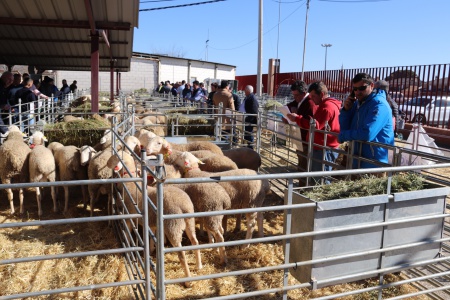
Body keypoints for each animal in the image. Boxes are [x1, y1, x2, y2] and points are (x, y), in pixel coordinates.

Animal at [106, 151, 201, 288]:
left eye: (115, 157)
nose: (107, 163)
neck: (131, 182)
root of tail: (184, 205)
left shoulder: (130, 217)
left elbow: (128, 233)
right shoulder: (152, 223)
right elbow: (151, 238)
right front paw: (150, 251)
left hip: (173, 226)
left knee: (181, 253)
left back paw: (188, 281)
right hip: (189, 221)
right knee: (195, 241)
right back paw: (199, 265)